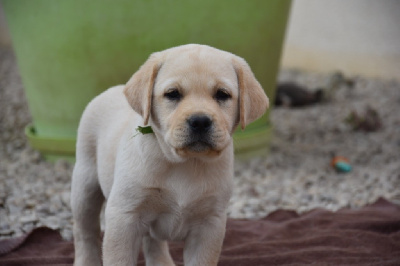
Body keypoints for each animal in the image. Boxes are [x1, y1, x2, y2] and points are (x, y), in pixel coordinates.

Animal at [71, 44, 268, 264]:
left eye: (222, 94)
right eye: (173, 94)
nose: (200, 121)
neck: (186, 162)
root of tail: (112, 89)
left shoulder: (210, 223)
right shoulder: (124, 216)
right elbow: (118, 259)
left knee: (152, 241)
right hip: (85, 185)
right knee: (84, 231)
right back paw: (86, 260)